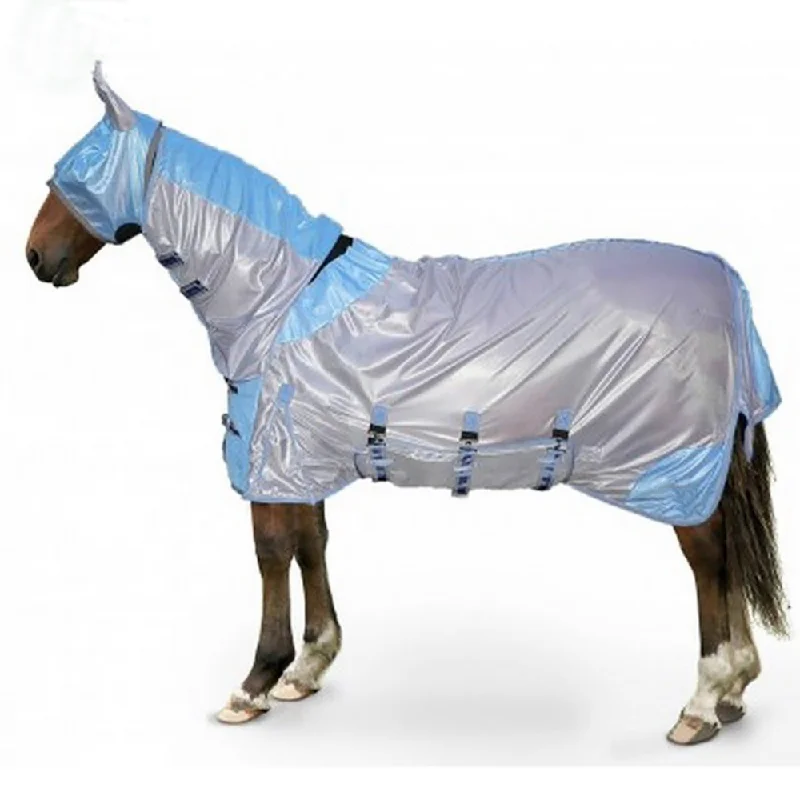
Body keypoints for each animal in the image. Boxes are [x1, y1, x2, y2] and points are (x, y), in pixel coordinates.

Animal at [25, 63, 788, 746]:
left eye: (73, 172)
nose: (35, 257)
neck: (282, 296)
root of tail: (727, 285)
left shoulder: (271, 462)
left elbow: (272, 553)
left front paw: (254, 684)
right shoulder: (301, 460)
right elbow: (312, 543)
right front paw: (307, 668)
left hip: (672, 467)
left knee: (709, 561)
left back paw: (702, 701)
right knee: (729, 553)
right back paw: (735, 689)